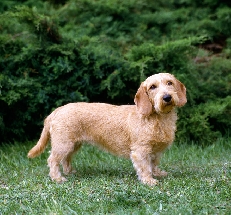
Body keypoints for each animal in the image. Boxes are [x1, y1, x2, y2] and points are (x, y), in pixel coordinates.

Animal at [28, 73, 187, 186]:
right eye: (152, 87)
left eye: (169, 83)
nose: (167, 97)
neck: (157, 118)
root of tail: (56, 111)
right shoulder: (140, 151)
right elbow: (144, 167)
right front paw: (149, 180)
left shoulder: (155, 152)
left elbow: (153, 164)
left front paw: (157, 173)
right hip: (63, 144)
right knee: (52, 160)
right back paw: (57, 178)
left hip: (73, 144)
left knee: (66, 159)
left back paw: (70, 172)